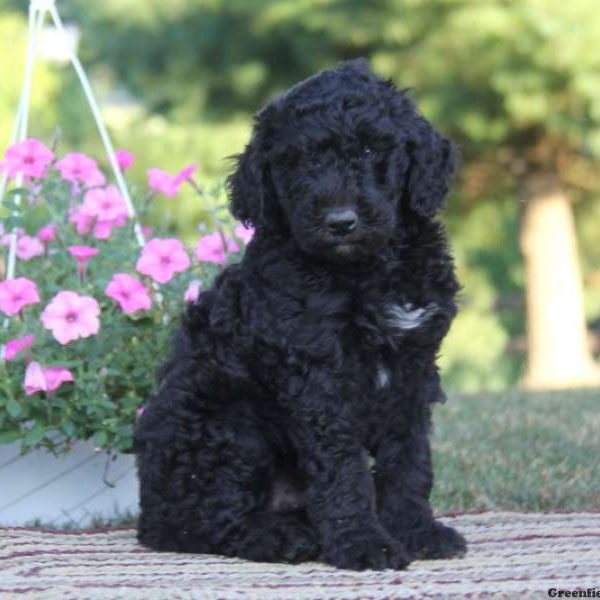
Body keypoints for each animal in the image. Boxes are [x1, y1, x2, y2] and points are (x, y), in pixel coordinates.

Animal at [134, 58, 466, 568]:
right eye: (301, 161)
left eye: (370, 148)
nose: (340, 222)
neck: (366, 271)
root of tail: (148, 512)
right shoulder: (318, 375)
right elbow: (344, 469)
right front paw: (363, 543)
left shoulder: (414, 367)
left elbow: (410, 460)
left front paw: (416, 531)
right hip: (230, 426)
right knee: (207, 521)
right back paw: (281, 537)